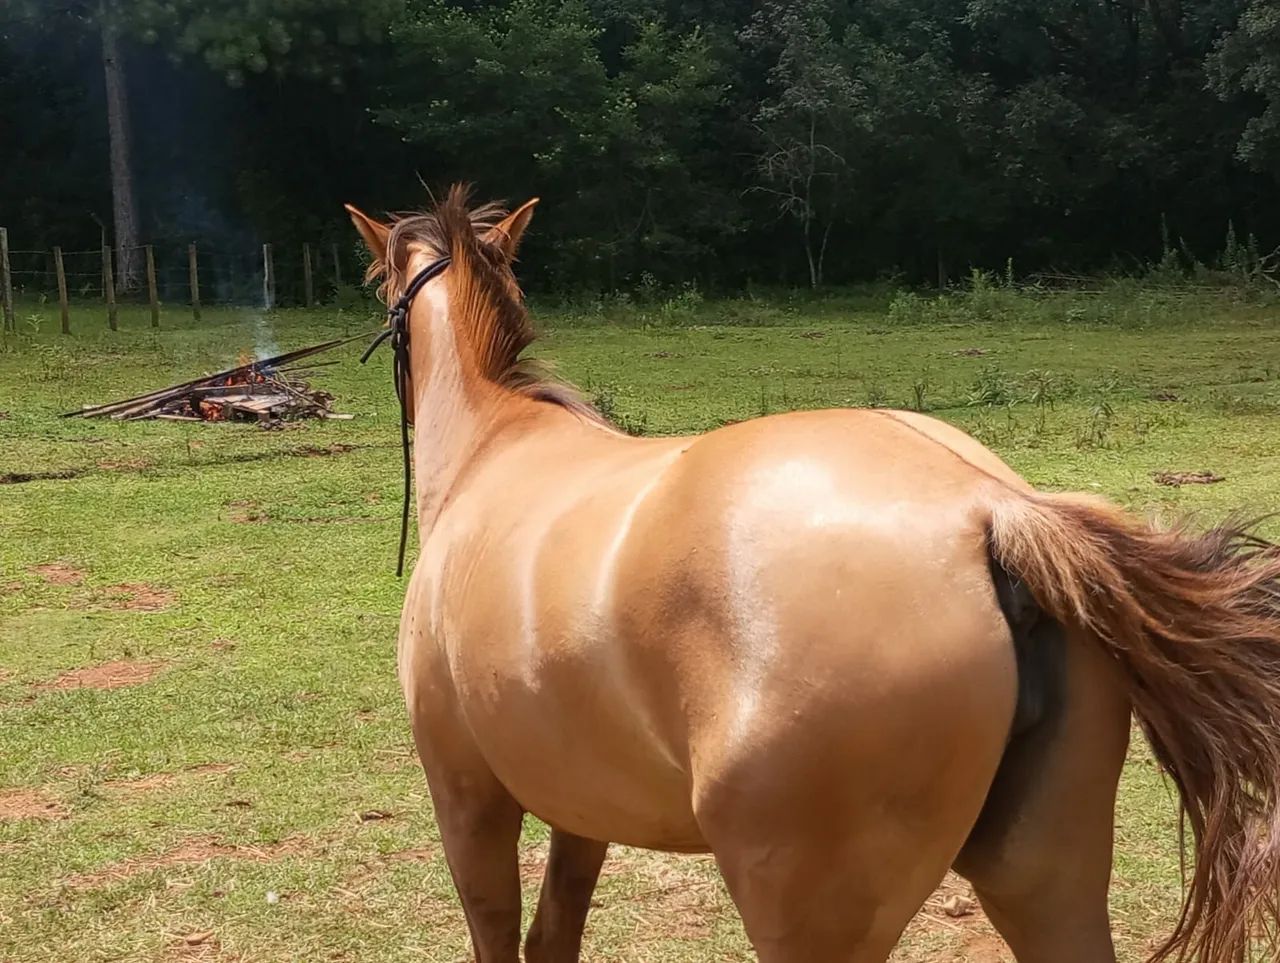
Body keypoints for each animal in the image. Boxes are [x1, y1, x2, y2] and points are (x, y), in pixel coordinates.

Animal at [344, 185, 1280, 963]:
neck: (495, 445)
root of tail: (986, 508)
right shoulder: (583, 806)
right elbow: (556, 933)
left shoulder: (467, 797)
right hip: (1046, 879)